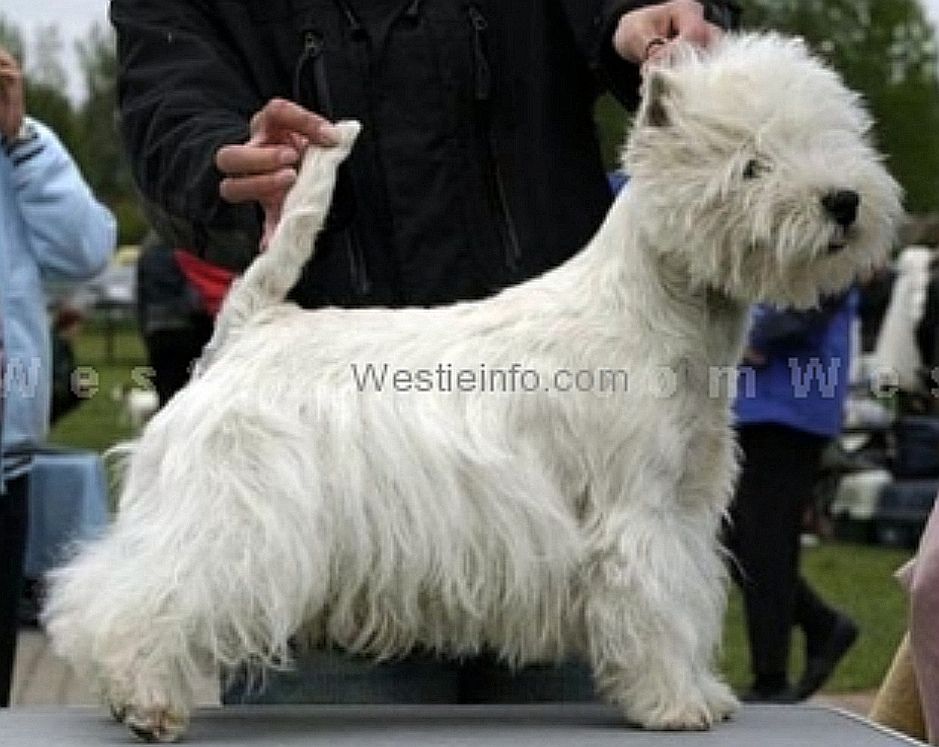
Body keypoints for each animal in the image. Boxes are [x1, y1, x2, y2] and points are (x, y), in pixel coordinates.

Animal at [42, 30, 904, 744]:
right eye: (749, 164)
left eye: (834, 137)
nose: (842, 202)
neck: (660, 310)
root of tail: (250, 325)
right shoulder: (635, 513)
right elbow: (653, 605)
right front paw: (674, 702)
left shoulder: (684, 507)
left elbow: (687, 601)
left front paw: (702, 690)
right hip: (236, 509)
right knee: (136, 591)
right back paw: (144, 701)